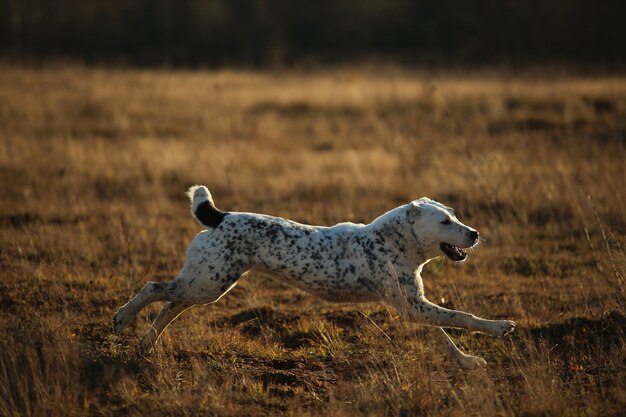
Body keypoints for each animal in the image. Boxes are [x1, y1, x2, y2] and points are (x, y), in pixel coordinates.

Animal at [112, 185, 512, 368]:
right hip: (207, 284)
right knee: (154, 288)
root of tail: (220, 217)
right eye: (444, 221)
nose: (475, 233)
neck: (393, 241)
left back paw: (144, 345)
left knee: (168, 306)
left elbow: (445, 334)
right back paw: (122, 319)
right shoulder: (415, 307)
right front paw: (499, 327)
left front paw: (467, 362)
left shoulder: (414, 307)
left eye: (455, 215)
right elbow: (462, 318)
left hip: (206, 284)